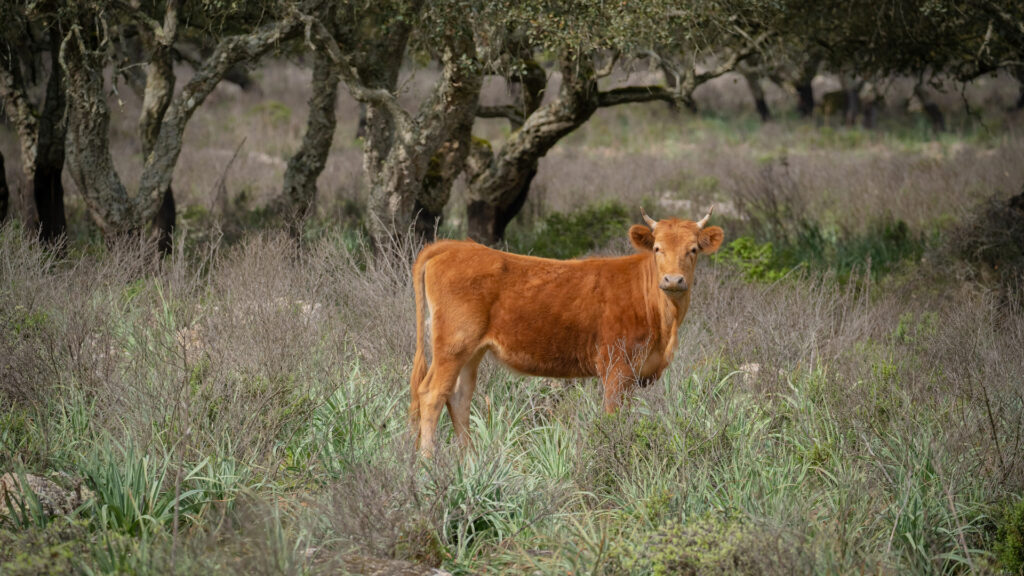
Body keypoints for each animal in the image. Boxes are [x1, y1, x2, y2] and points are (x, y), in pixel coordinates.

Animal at [411, 206, 724, 453]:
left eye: (693, 250)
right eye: (658, 248)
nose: (673, 280)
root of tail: (456, 247)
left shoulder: (636, 373)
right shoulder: (616, 367)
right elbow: (612, 416)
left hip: (471, 352)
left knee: (459, 398)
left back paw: (469, 461)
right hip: (453, 345)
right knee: (431, 394)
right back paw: (428, 463)